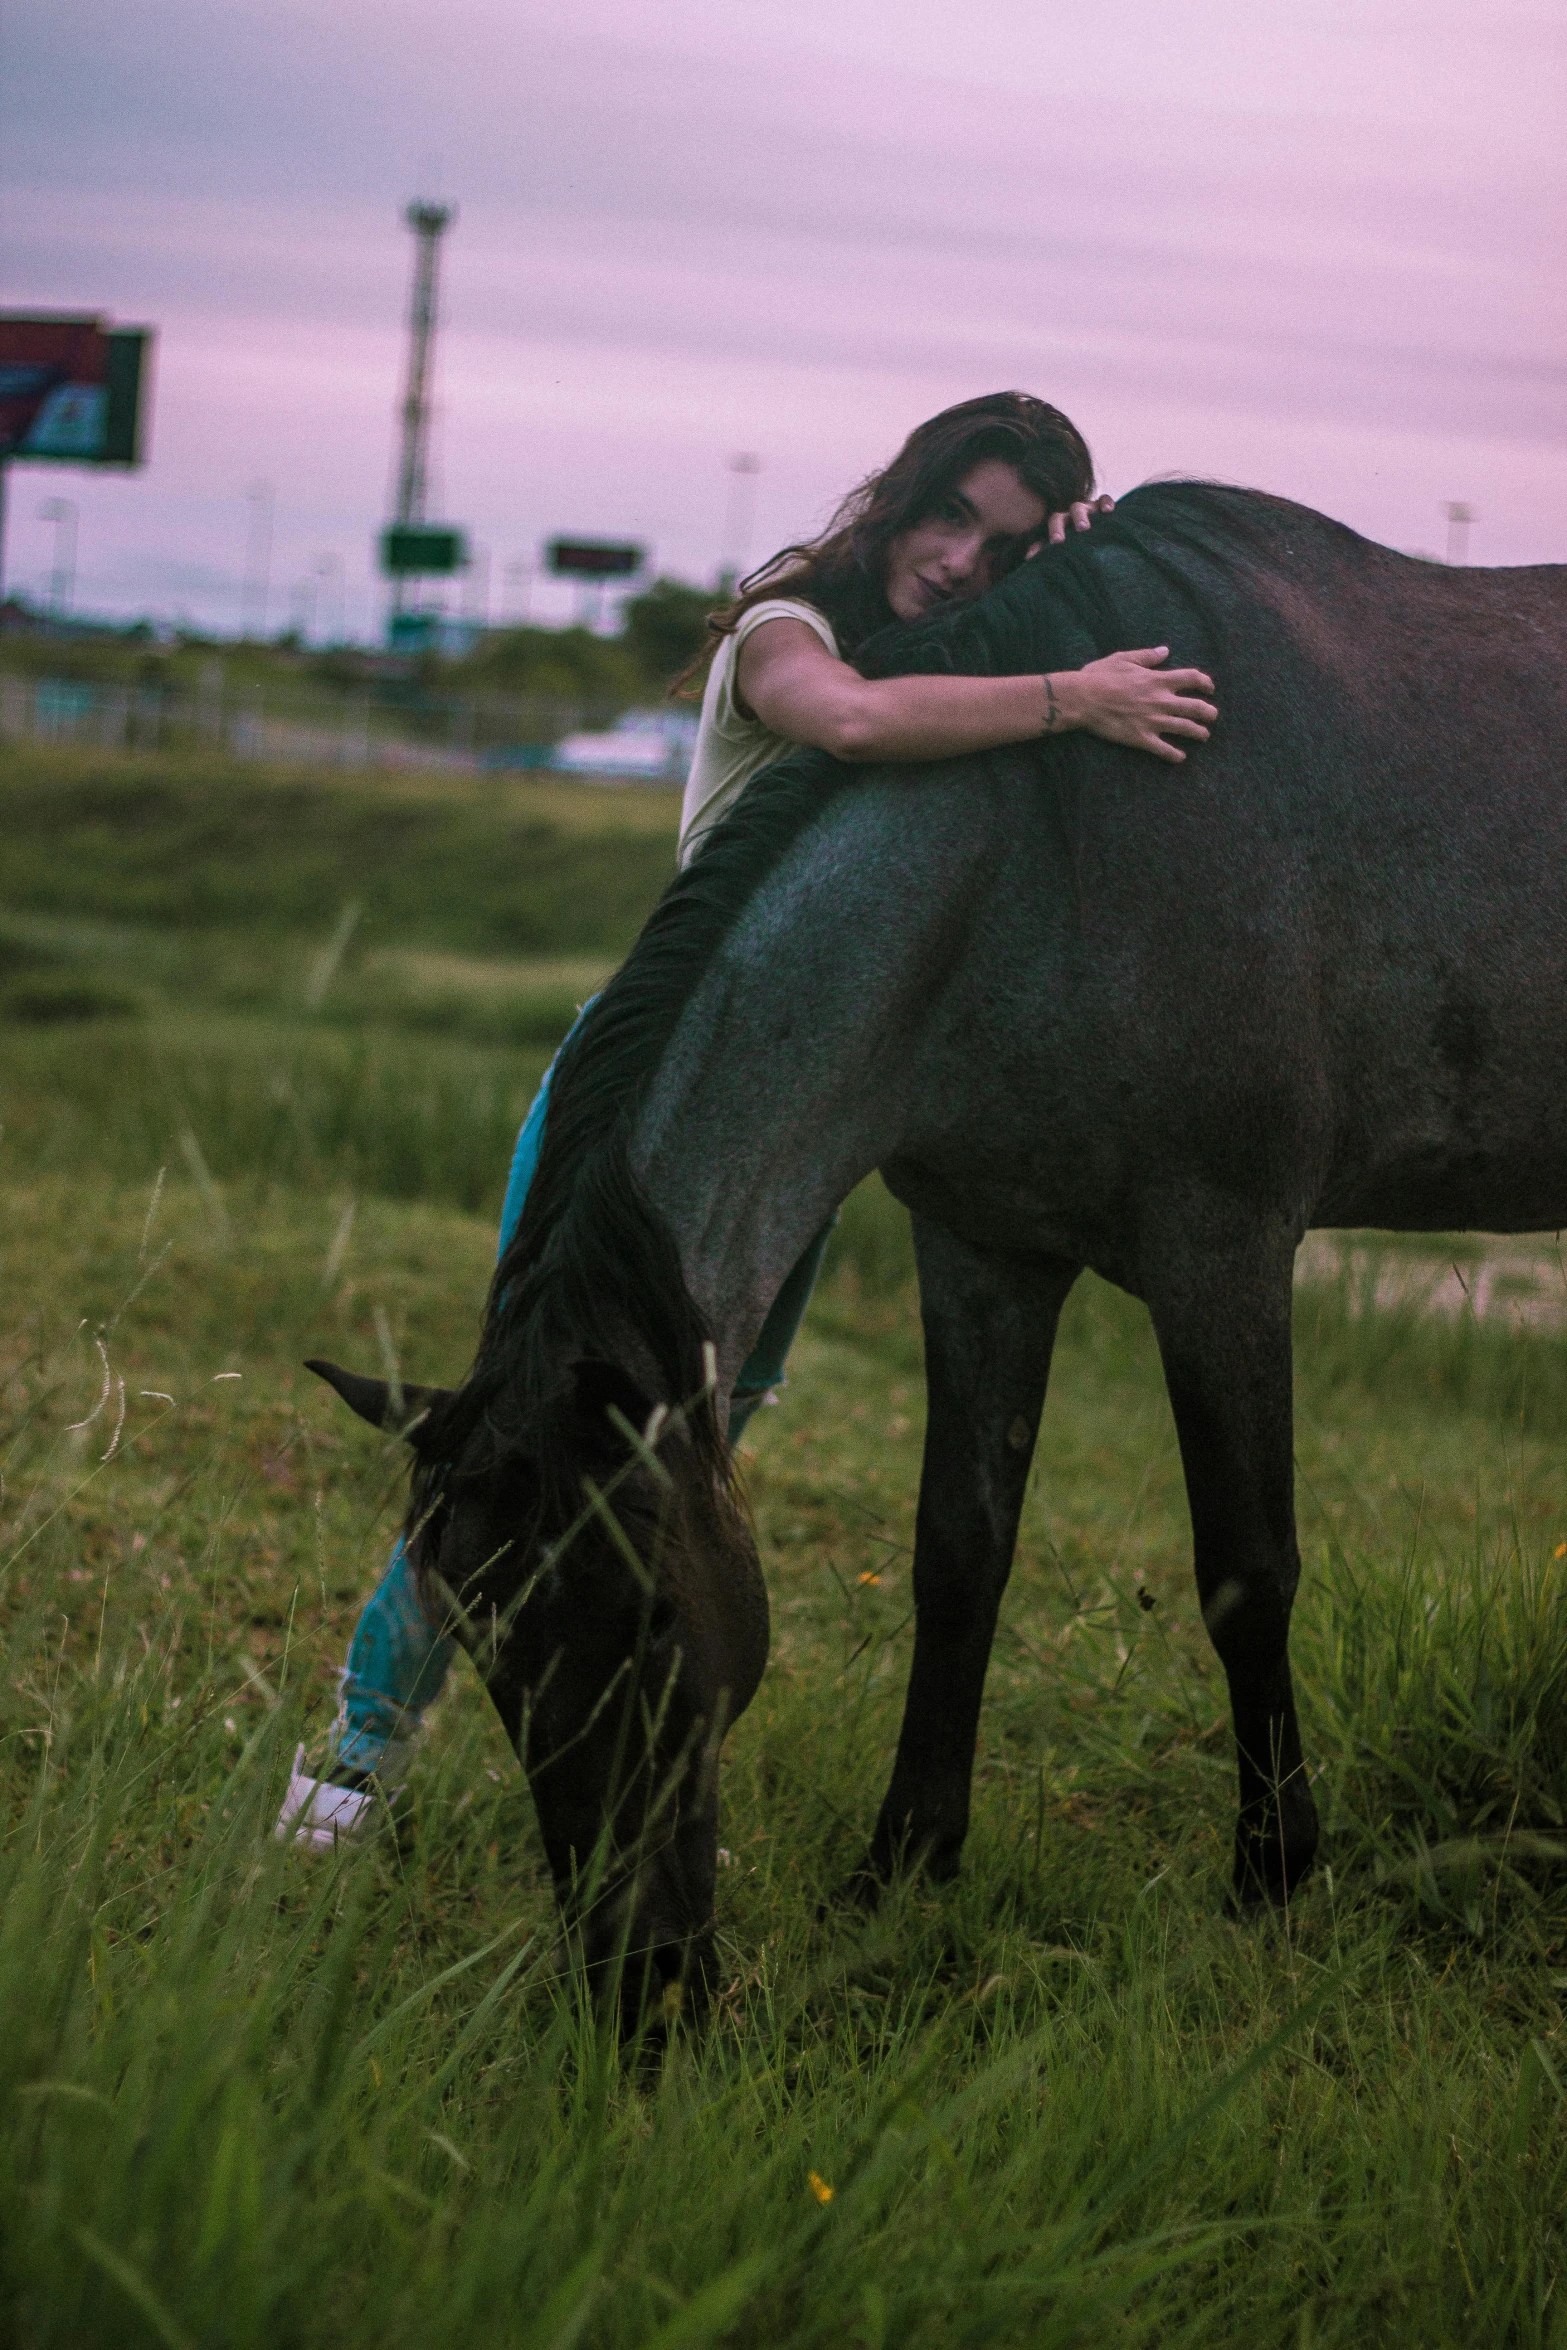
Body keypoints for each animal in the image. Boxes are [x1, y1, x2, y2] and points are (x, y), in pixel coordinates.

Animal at [312, 486, 1567, 2011]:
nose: (640, 1983)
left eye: (656, 1621)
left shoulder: (1222, 1247)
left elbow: (1245, 1568)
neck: (1045, 859)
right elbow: (958, 1548)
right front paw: (900, 1868)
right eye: (481, 1643)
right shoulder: (980, 1246)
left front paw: (1268, 1881)